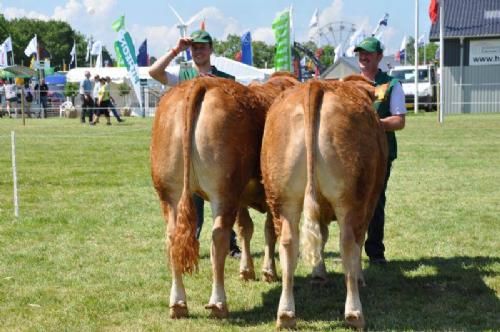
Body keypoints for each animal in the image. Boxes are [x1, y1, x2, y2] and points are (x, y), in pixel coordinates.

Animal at [148, 74, 296, 320]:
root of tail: (200, 83)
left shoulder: (242, 196)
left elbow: (246, 229)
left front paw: (247, 270)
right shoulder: (268, 196)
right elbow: (267, 231)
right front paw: (268, 272)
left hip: (169, 192)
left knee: (172, 238)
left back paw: (178, 304)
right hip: (224, 192)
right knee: (218, 237)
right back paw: (218, 303)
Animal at [262, 76, 386, 328]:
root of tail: (316, 85)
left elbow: (321, 236)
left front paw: (318, 274)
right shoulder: (369, 202)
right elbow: (357, 243)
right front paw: (358, 277)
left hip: (283, 198)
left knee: (289, 243)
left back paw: (286, 314)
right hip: (351, 199)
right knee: (348, 242)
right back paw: (354, 312)